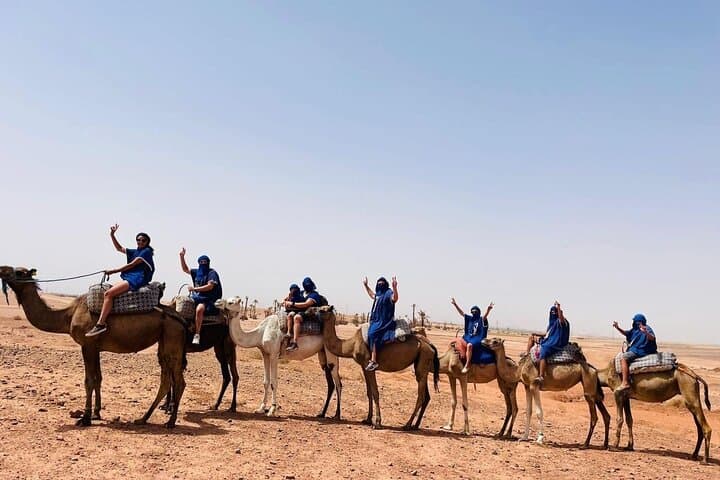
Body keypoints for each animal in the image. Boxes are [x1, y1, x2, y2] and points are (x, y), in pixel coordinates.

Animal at [0, 266, 188, 428]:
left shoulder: (87, 345)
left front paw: (85, 418)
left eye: (19, 272)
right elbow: (98, 378)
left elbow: (88, 380)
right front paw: (97, 413)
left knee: (179, 382)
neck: (69, 314)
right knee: (166, 380)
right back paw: (143, 418)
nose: (2, 269)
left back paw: (170, 422)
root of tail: (181, 319)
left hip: (173, 340)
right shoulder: (95, 347)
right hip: (164, 342)